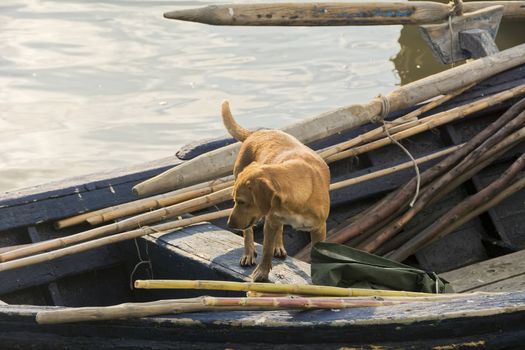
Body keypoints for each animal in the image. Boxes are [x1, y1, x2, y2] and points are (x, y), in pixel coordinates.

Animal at [222, 100, 330, 280]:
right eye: (234, 200)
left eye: (242, 201)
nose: (230, 225)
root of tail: (255, 133)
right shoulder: (270, 221)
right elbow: (266, 250)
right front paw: (261, 273)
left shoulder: (319, 229)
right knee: (249, 231)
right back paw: (248, 252)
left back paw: (278, 246)